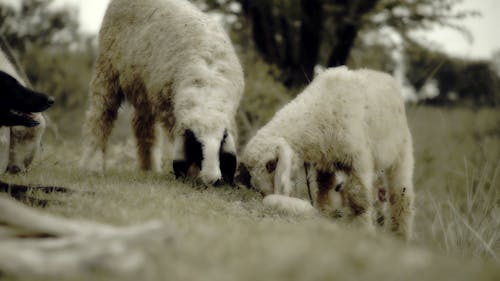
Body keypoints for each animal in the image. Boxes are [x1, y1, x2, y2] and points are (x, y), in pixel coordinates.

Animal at [81, 0, 243, 184]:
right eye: (195, 147)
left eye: (220, 145)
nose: (212, 180)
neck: (206, 91)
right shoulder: (168, 109)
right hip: (107, 70)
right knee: (100, 118)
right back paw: (92, 166)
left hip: (143, 89)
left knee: (143, 127)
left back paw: (148, 168)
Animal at [238, 66, 414, 238]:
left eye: (270, 164)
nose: (264, 194)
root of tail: (386, 76)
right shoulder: (326, 162)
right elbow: (324, 191)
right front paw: (324, 216)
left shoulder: (359, 160)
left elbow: (358, 198)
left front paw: (363, 229)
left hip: (401, 152)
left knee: (401, 193)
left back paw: (400, 234)